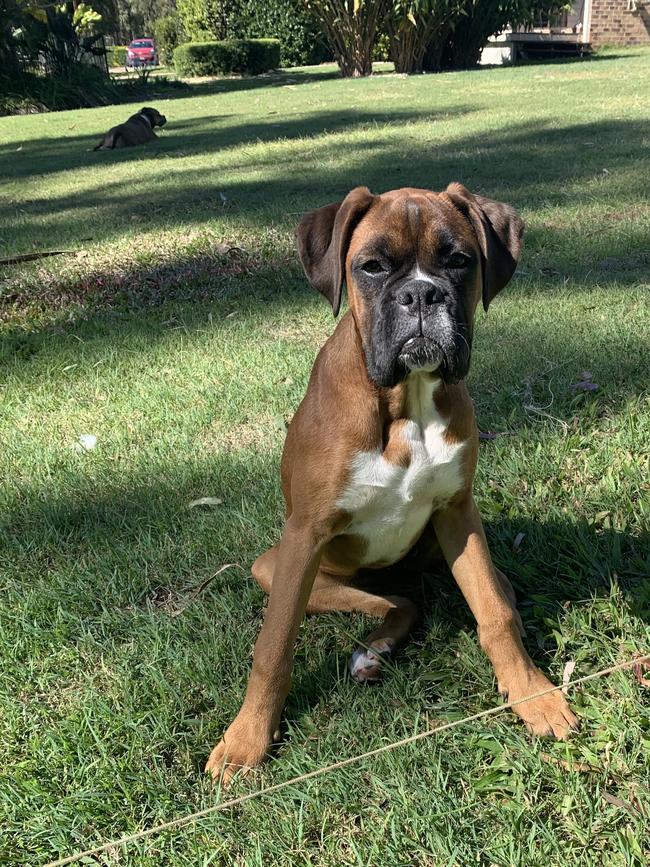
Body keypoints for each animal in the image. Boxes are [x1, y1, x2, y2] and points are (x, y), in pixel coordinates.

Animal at [204, 185, 576, 788]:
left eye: (459, 260)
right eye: (372, 267)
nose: (421, 294)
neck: (407, 402)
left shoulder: (457, 512)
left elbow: (494, 616)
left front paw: (533, 694)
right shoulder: (304, 537)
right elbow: (274, 645)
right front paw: (246, 740)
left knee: (460, 596)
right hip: (276, 566)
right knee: (395, 601)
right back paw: (371, 649)